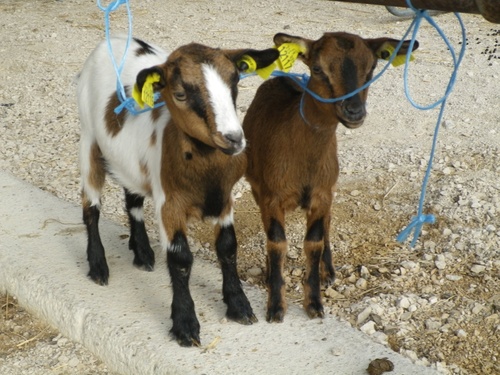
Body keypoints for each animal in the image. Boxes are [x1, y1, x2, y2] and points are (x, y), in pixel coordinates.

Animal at [79, 36, 278, 346]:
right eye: (181, 94)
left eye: (235, 81)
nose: (234, 139)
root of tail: (118, 39)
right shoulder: (169, 203)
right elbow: (181, 259)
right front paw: (185, 324)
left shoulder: (225, 199)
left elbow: (228, 247)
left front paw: (238, 305)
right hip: (88, 140)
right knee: (91, 206)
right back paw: (98, 266)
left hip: (130, 160)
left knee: (132, 198)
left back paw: (142, 253)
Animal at [242, 32, 418, 324]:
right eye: (317, 68)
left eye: (371, 68)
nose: (354, 111)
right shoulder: (270, 196)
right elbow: (276, 242)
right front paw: (275, 306)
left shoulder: (322, 193)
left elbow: (313, 242)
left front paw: (314, 302)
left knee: (326, 224)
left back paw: (328, 271)